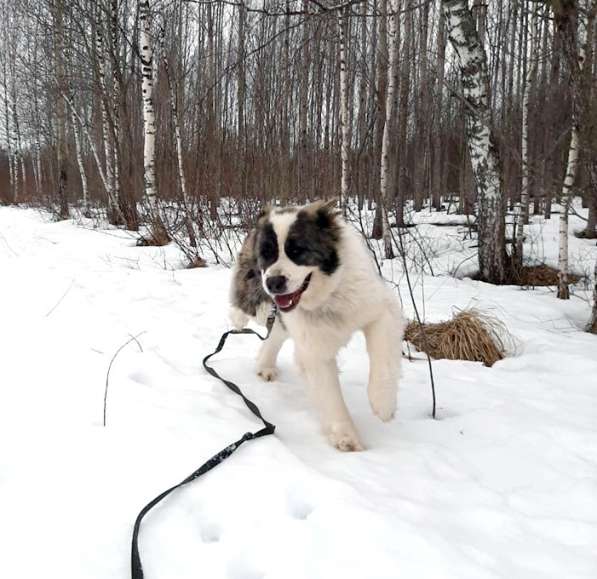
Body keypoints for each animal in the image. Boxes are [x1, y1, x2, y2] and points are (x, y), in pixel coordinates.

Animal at [230, 201, 402, 454]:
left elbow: (384, 362)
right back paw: (237, 320)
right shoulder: (313, 350)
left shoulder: (380, 310)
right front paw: (346, 436)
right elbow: (330, 395)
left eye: (297, 251)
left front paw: (383, 404)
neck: (328, 297)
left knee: (275, 334)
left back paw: (265, 365)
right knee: (246, 306)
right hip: (255, 292)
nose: (273, 282)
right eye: (267, 255)